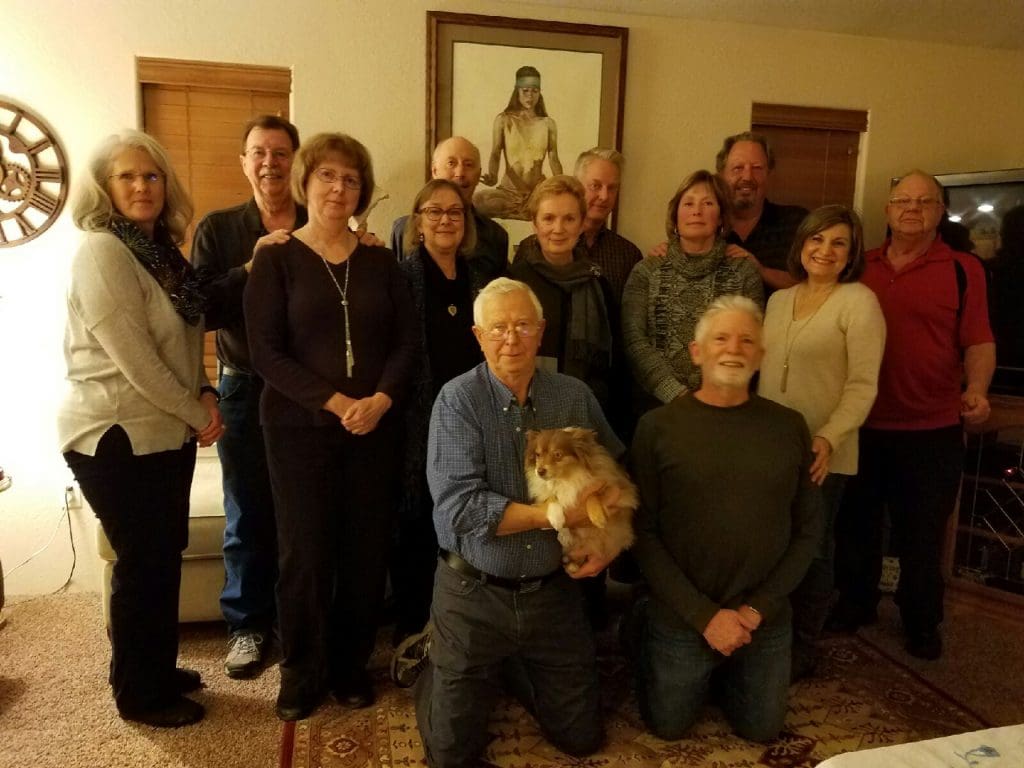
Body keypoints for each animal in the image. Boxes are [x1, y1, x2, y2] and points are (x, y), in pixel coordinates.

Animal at [524, 427, 638, 572]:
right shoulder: (544, 493)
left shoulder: (619, 490)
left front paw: (597, 517)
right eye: (538, 455)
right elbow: (551, 497)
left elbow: (591, 494)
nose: (540, 471)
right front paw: (557, 520)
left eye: (557, 455)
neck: (565, 478)